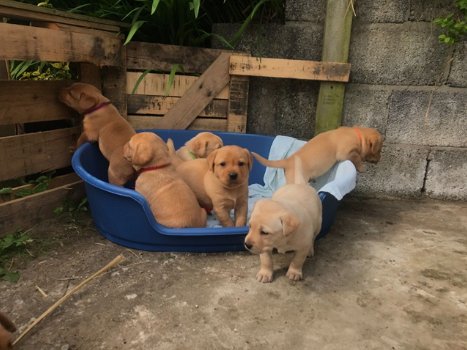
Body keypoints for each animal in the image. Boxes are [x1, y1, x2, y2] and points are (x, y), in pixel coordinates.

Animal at [252, 126, 384, 186]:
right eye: (379, 150)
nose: (379, 160)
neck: (357, 134)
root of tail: (288, 160)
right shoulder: (346, 152)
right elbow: (356, 157)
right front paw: (362, 168)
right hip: (298, 179)